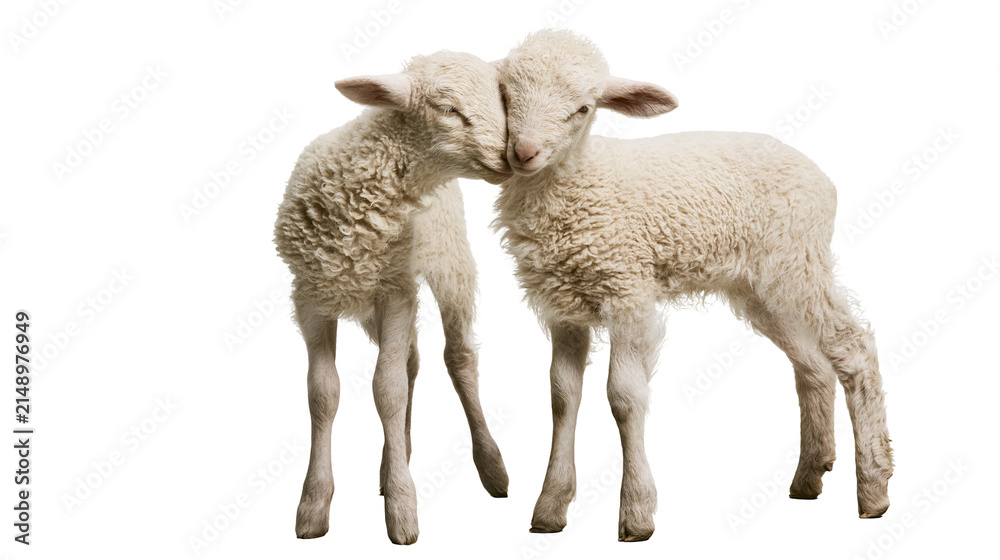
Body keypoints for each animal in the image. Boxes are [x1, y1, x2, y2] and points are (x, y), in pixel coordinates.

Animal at [273, 51, 511, 545]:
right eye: (448, 109)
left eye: (503, 104)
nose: (510, 156)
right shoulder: (311, 297)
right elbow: (322, 393)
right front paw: (314, 505)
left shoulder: (395, 291)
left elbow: (387, 388)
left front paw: (402, 508)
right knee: (412, 361)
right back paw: (394, 456)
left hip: (450, 261)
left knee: (458, 358)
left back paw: (490, 466)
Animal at [493, 29, 893, 541]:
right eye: (506, 95)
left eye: (582, 108)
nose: (523, 153)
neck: (582, 179)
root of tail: (819, 174)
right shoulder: (563, 304)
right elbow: (562, 398)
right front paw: (549, 507)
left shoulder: (628, 289)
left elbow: (624, 398)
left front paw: (637, 513)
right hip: (759, 286)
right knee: (812, 365)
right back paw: (809, 475)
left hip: (798, 259)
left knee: (854, 347)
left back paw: (874, 489)